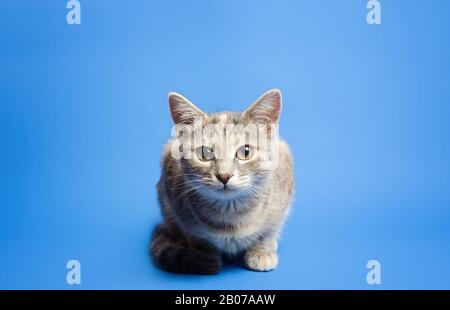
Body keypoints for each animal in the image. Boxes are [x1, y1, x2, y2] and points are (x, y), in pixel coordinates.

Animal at [149, 89, 294, 274]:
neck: (231, 213)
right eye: (204, 153)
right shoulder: (177, 204)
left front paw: (262, 251)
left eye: (246, 152)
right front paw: (205, 255)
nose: (224, 175)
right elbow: (196, 236)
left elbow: (270, 230)